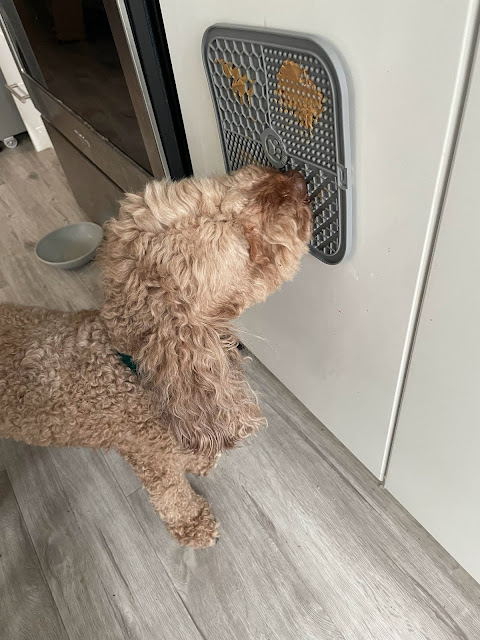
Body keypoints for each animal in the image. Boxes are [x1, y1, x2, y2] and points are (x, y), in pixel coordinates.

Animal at [0, 166, 311, 547]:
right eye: (242, 237)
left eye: (220, 185)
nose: (296, 178)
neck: (133, 369)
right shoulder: (149, 457)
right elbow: (170, 495)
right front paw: (194, 524)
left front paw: (197, 461)